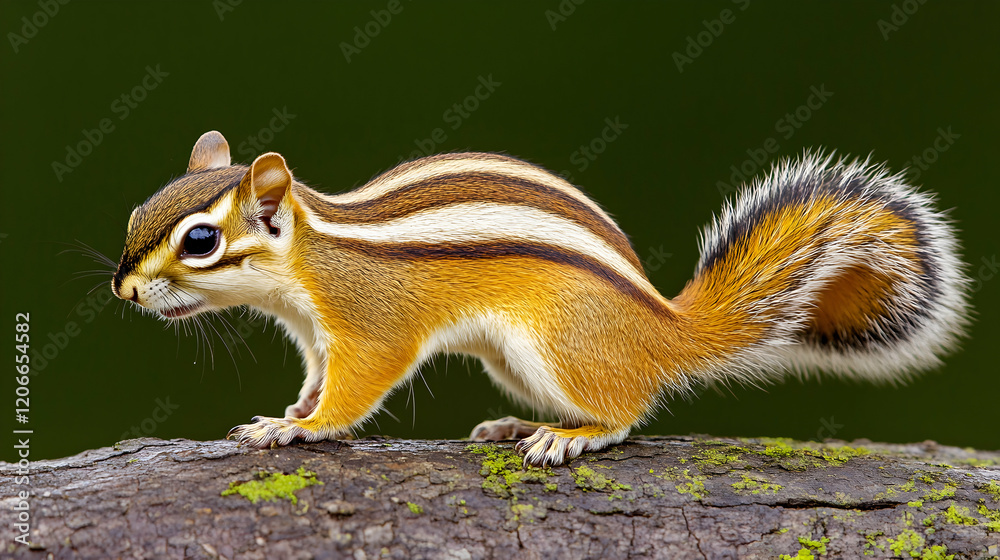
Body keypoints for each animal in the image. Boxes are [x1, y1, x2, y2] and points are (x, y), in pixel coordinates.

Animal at [112, 131, 970, 467]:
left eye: (200, 240)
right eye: (136, 213)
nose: (123, 287)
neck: (309, 262)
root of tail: (664, 329)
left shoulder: (370, 324)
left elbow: (353, 388)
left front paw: (299, 429)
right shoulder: (314, 335)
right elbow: (316, 377)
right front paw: (289, 411)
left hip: (556, 345)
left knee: (625, 410)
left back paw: (567, 437)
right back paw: (518, 424)